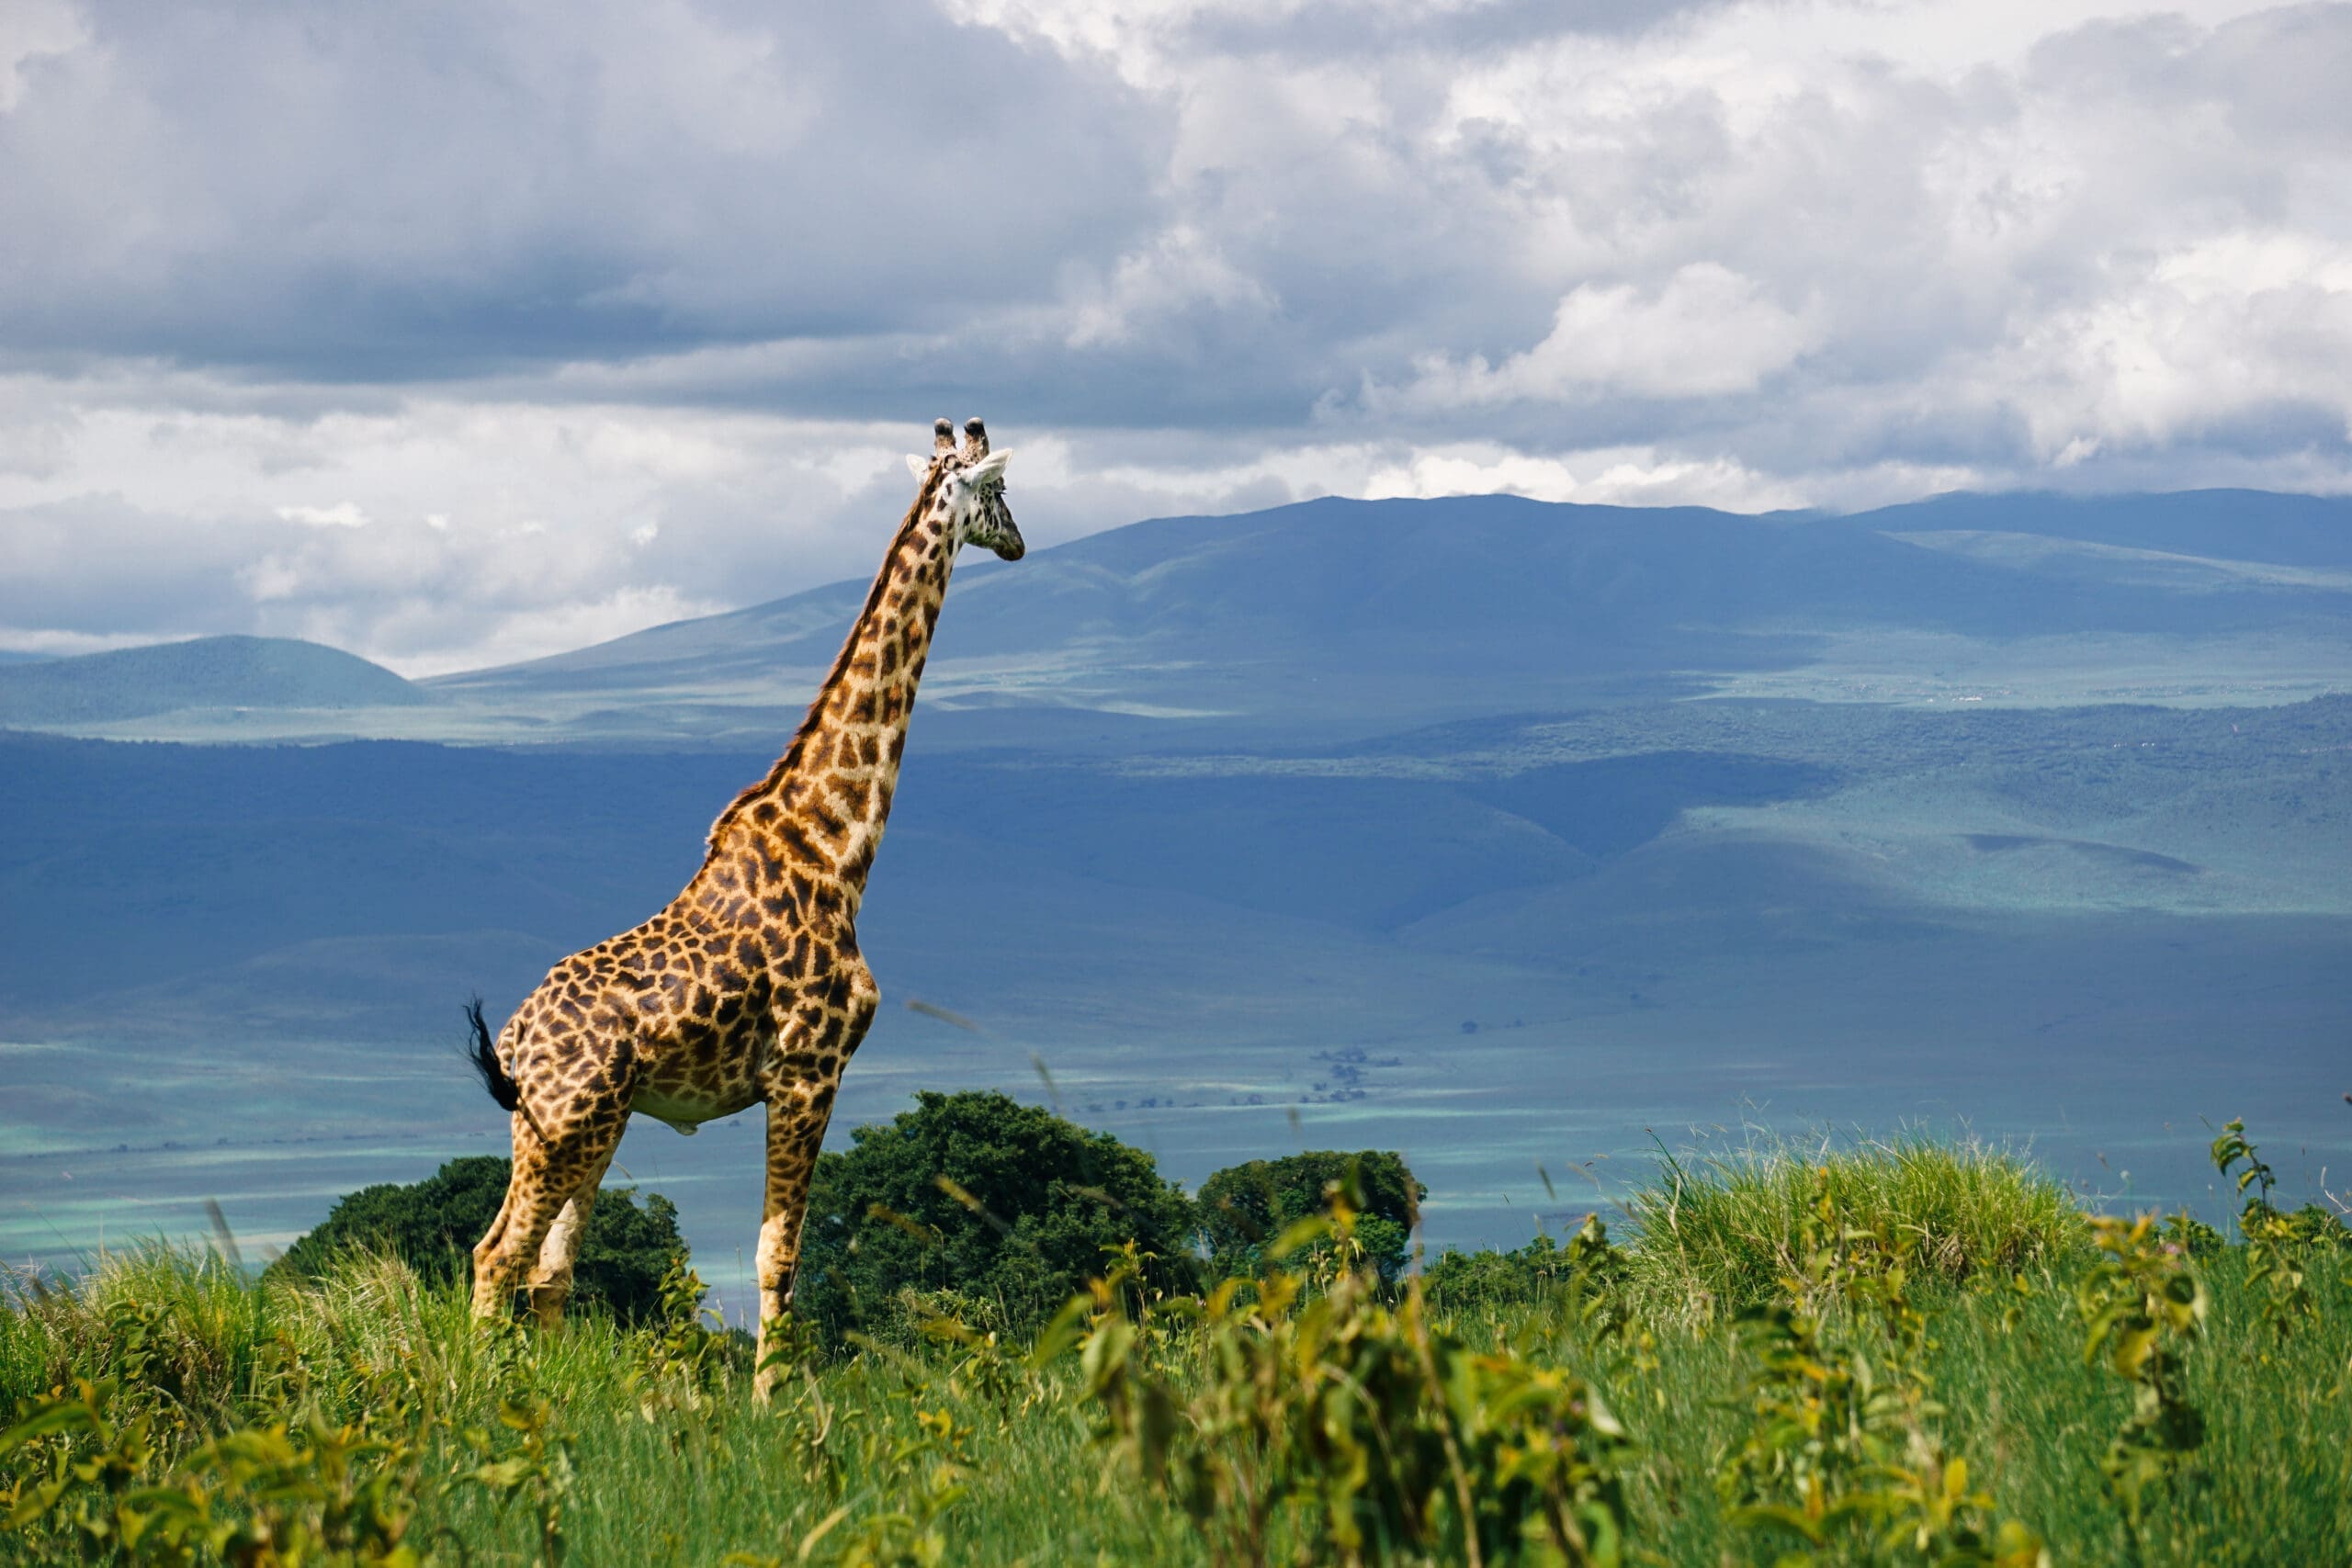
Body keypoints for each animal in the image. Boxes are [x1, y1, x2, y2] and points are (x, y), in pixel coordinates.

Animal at [464, 416, 1023, 1397]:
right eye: (998, 491)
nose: (1022, 542)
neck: (837, 844)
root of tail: (517, 1039)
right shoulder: (809, 1069)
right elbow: (779, 1255)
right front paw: (773, 1405)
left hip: (579, 1124)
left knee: (541, 1263)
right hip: (568, 1124)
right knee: (499, 1257)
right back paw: (488, 1396)